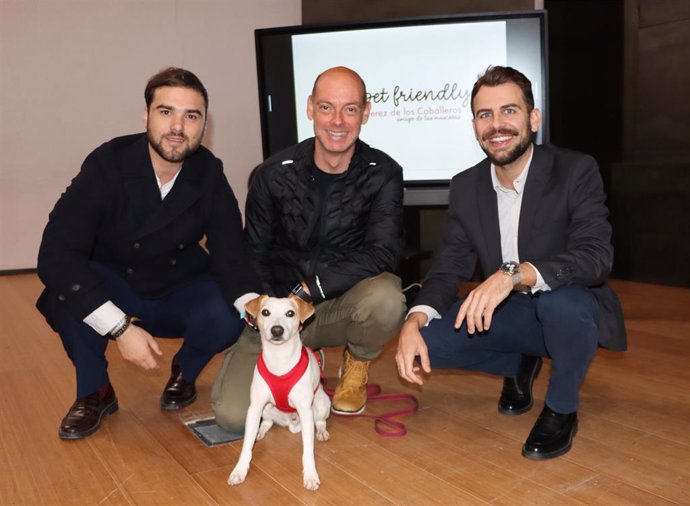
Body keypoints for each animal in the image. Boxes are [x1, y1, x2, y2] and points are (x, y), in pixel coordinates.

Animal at [228, 296, 330, 490]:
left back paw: (321, 432)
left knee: (320, 421)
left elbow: (308, 451)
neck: (279, 359)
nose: (277, 330)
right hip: (267, 408)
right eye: (265, 312)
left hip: (321, 402)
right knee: (266, 422)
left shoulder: (305, 410)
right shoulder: (255, 407)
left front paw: (310, 475)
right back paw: (259, 432)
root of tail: (291, 422)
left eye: (290, 313)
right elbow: (246, 446)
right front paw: (240, 470)